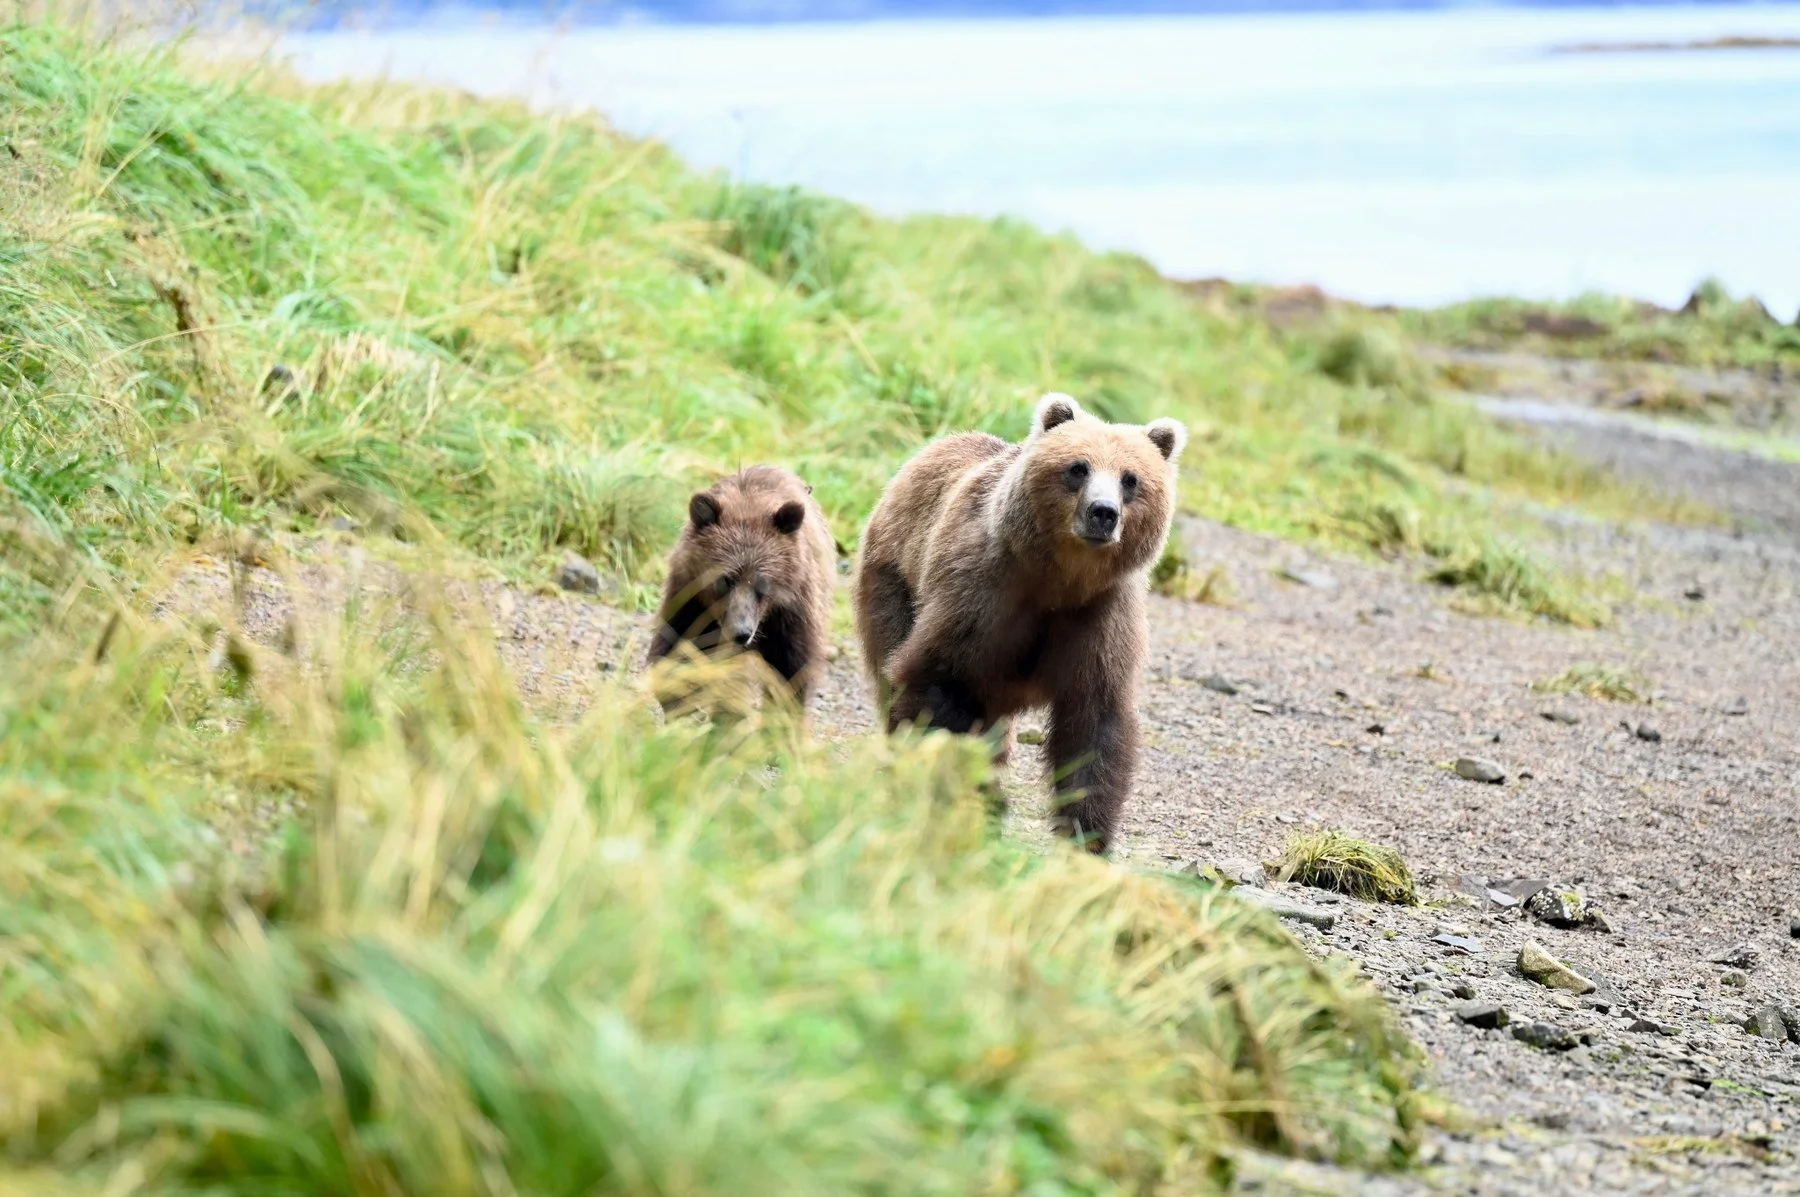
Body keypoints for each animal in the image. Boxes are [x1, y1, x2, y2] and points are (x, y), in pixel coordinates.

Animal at [647, 465, 837, 710]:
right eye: (725, 579)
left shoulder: (791, 610)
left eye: (763, 582)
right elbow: (678, 646)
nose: (741, 633)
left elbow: (790, 668)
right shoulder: (692, 597)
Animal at [852, 392, 1187, 854]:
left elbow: (1094, 722)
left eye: (1131, 479)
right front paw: (957, 790)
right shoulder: (983, 593)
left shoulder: (1100, 616)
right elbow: (937, 682)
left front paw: (1086, 834)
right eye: (1078, 467)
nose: (1103, 513)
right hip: (894, 577)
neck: (1059, 580)